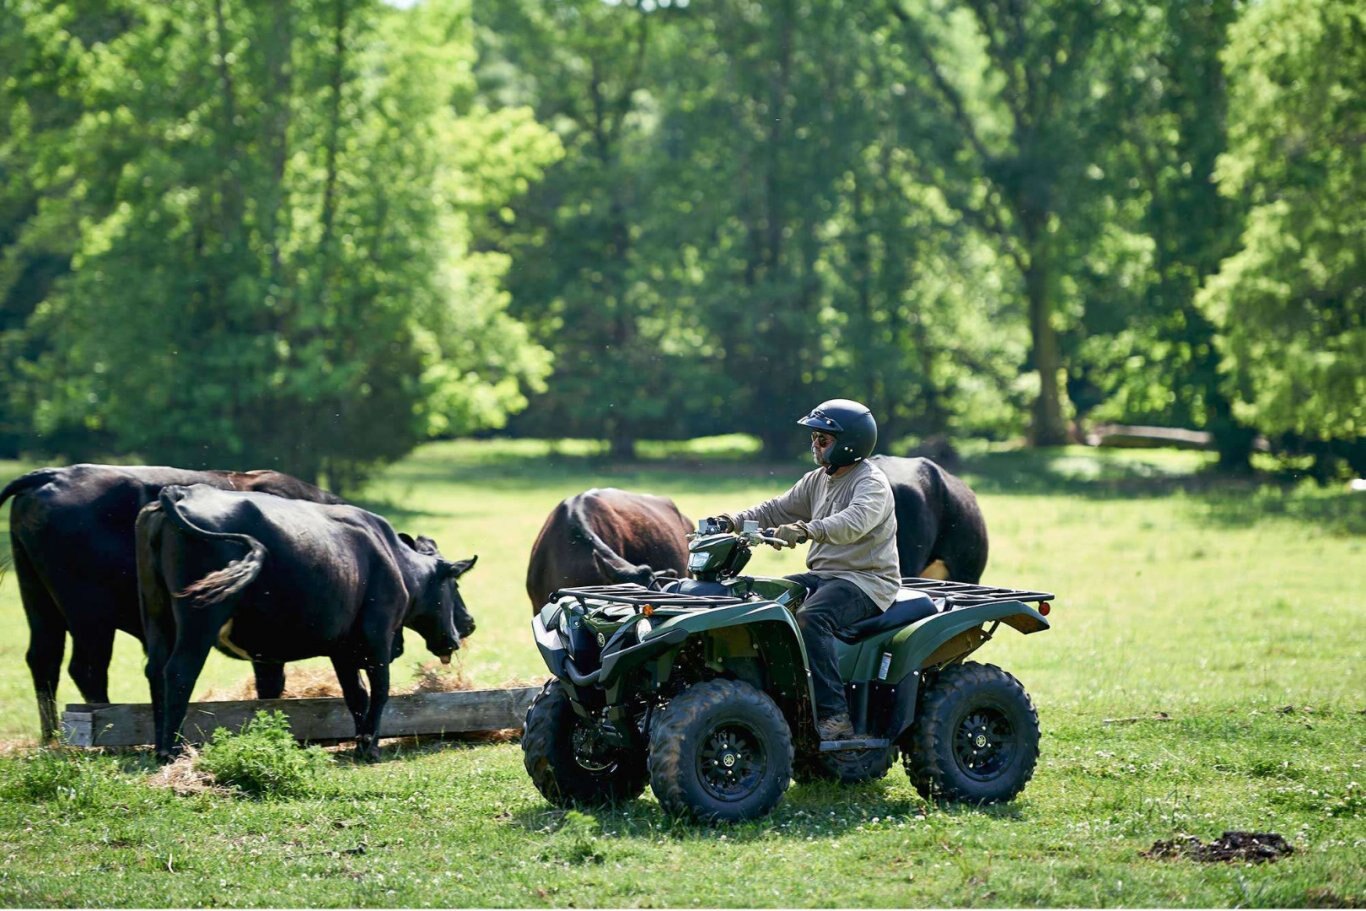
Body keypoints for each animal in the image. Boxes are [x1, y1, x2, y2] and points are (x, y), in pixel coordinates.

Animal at [1, 464, 341, 743]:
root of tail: (54, 475)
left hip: (40, 603)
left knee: (44, 660)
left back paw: (51, 738)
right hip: (90, 616)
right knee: (87, 668)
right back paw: (106, 721)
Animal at [133, 483, 475, 764]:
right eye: (455, 584)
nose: (469, 624)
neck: (393, 559)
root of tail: (181, 491)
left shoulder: (343, 648)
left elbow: (356, 694)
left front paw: (360, 743)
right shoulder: (379, 637)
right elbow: (380, 691)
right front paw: (372, 748)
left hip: (157, 614)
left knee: (155, 671)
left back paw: (159, 747)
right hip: (199, 619)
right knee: (180, 672)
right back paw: (172, 751)